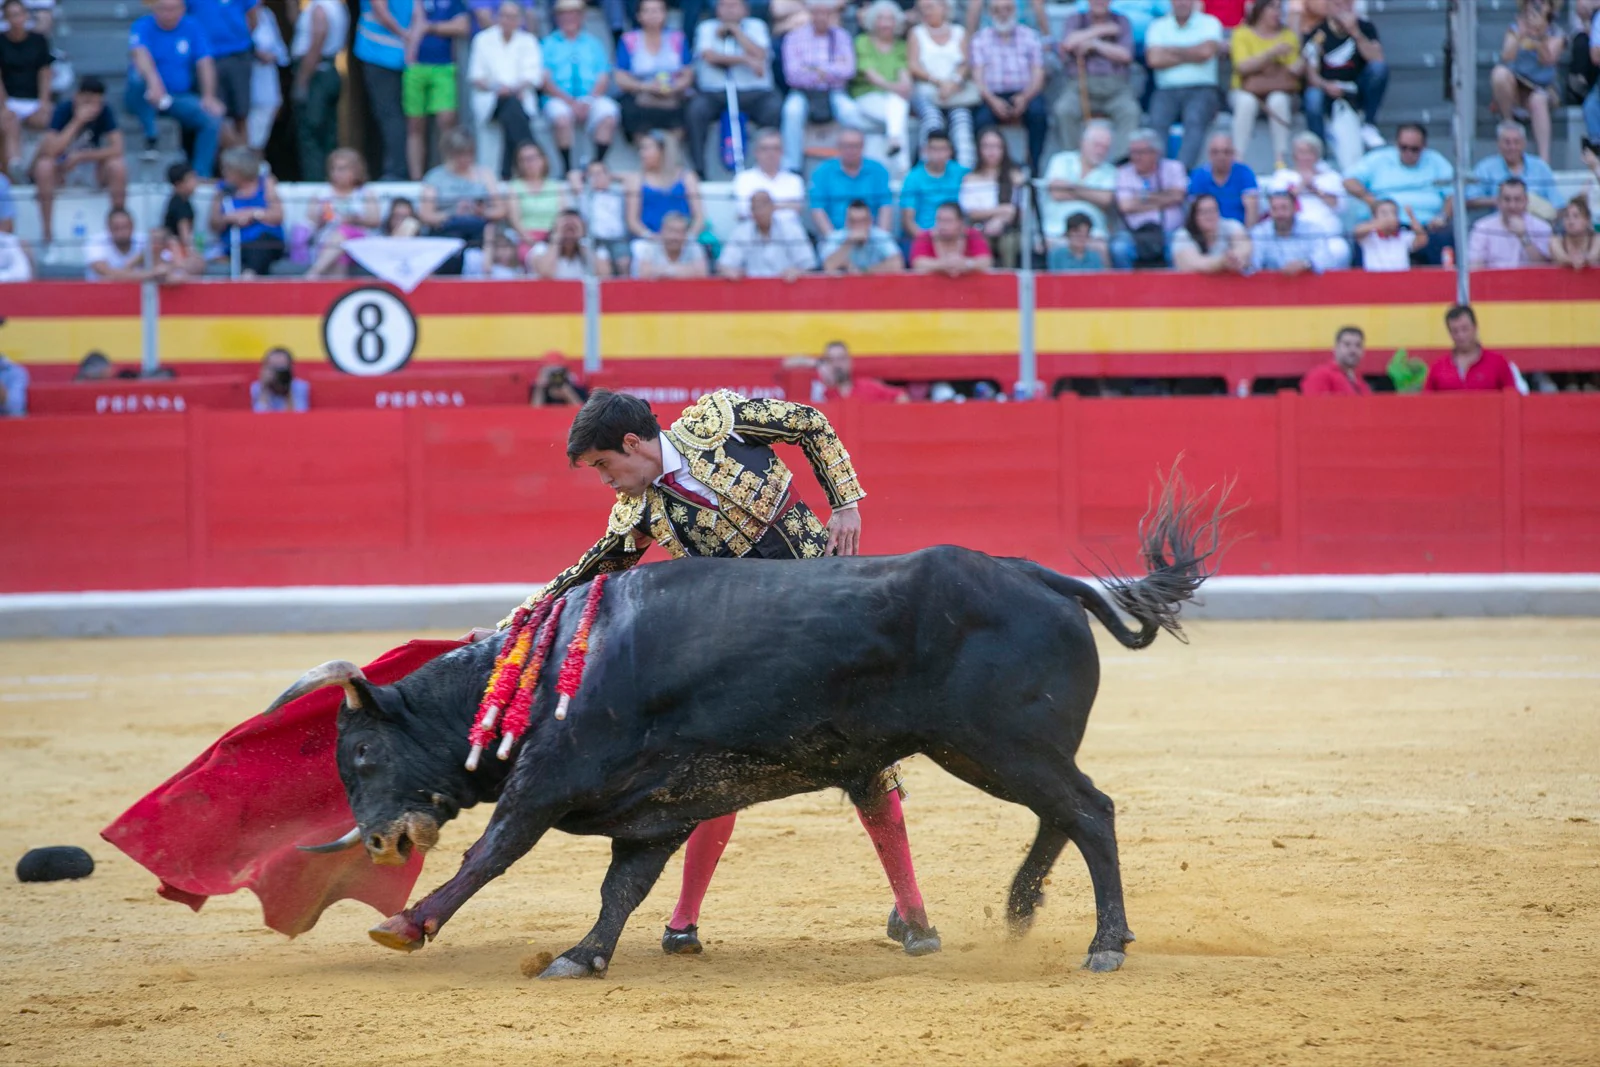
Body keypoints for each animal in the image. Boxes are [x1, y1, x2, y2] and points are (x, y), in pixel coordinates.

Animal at [272, 476, 1222, 979]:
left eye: (361, 750)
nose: (380, 840)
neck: (548, 673)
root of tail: (1042, 576)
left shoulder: (548, 782)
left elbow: (492, 852)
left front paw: (408, 922)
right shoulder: (652, 808)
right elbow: (623, 888)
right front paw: (584, 954)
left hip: (1000, 743)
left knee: (1089, 811)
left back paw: (1104, 943)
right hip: (994, 748)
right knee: (1062, 812)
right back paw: (1018, 909)